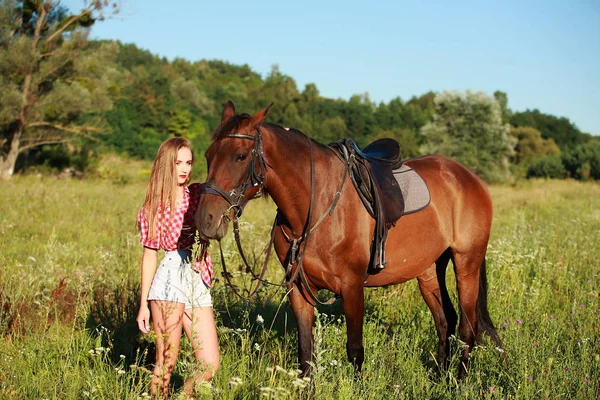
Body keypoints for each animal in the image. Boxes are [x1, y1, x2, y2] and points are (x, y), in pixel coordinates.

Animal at [197, 101, 502, 376]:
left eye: (240, 156)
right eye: (208, 155)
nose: (206, 219)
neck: (316, 202)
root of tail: (468, 177)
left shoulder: (352, 286)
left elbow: (355, 351)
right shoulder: (298, 288)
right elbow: (305, 354)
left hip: (466, 264)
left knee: (467, 328)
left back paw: (457, 382)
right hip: (429, 270)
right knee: (445, 321)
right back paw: (439, 377)